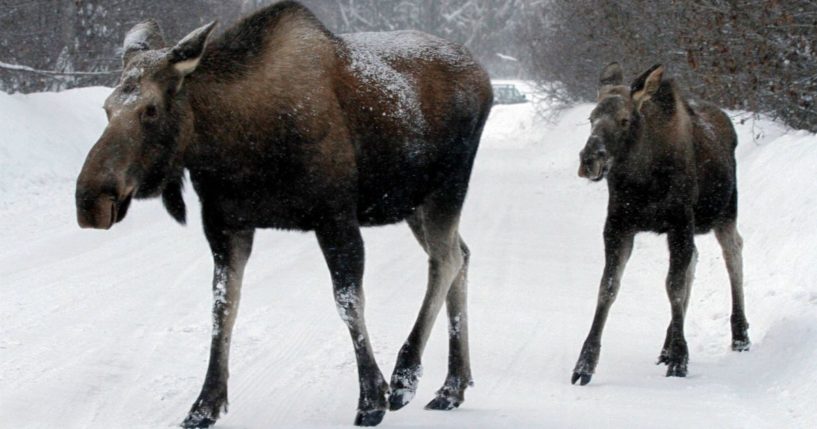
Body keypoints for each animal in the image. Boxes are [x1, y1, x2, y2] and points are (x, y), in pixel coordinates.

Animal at [75, 2, 490, 424]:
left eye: (151, 109)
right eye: (107, 108)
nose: (90, 200)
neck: (234, 144)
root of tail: (483, 76)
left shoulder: (335, 216)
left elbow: (348, 301)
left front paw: (372, 397)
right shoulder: (225, 223)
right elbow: (223, 306)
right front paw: (206, 403)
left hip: (447, 187)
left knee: (446, 259)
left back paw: (406, 375)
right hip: (413, 203)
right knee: (463, 254)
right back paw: (453, 385)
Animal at [572, 62, 748, 384]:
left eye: (625, 119)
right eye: (591, 118)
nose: (589, 159)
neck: (642, 178)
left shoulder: (680, 222)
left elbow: (673, 286)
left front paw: (680, 360)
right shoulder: (618, 225)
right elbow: (608, 287)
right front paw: (585, 364)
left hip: (725, 212)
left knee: (733, 254)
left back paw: (740, 334)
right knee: (694, 261)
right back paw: (667, 345)